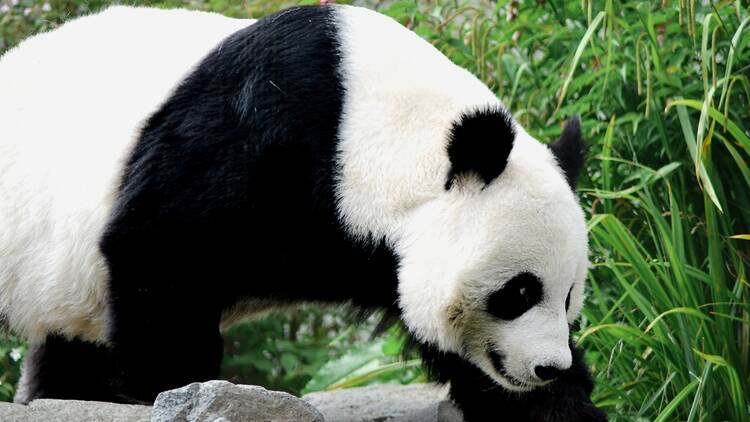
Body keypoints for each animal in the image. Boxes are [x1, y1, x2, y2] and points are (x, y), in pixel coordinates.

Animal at [0, 4, 608, 422]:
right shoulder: (256, 136)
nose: (546, 366)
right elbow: (156, 245)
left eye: (569, 296)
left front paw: (557, 403)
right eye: (519, 292)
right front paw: (171, 389)